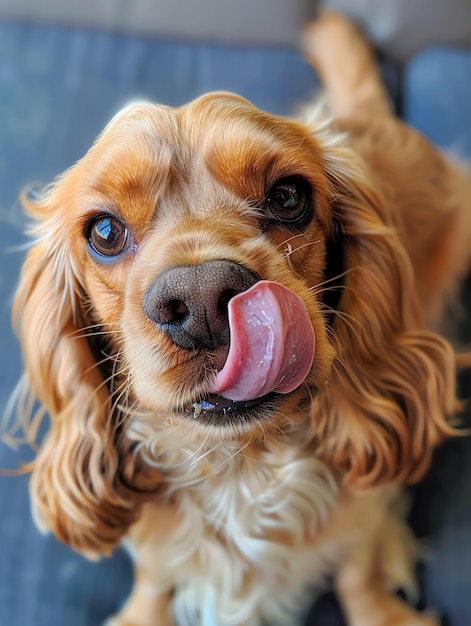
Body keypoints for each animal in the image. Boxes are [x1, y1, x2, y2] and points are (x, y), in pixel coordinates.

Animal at [7, 9, 471, 624]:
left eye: (289, 197)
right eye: (104, 232)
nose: (203, 300)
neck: (238, 469)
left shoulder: (361, 514)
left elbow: (358, 571)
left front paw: (383, 607)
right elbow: (154, 575)